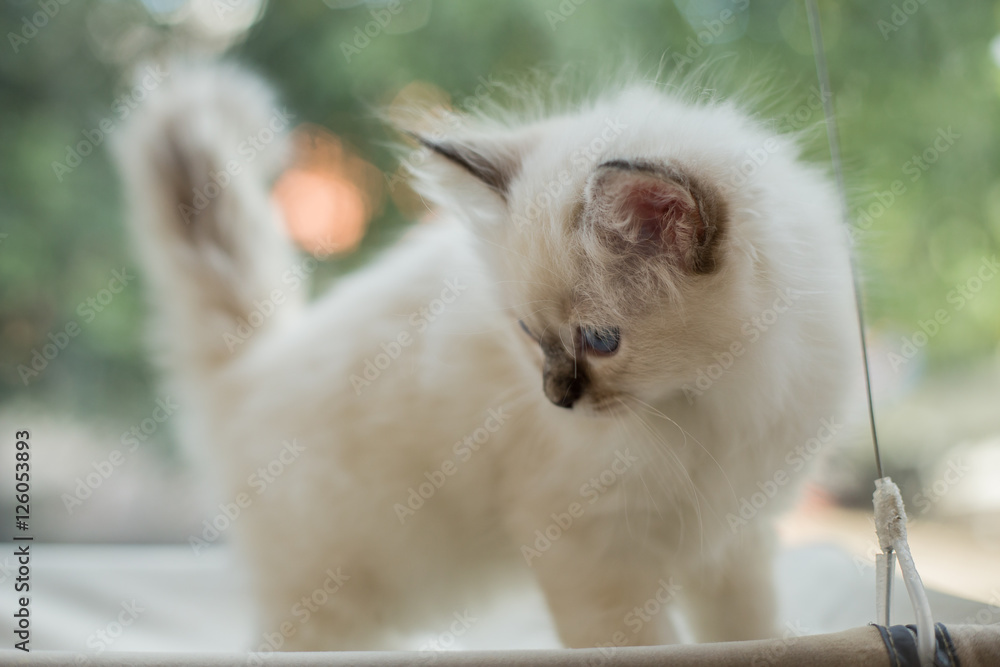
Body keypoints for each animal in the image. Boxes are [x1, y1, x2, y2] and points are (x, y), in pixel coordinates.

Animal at [111, 61, 860, 648]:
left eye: (600, 341)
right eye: (528, 332)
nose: (557, 399)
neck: (709, 399)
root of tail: (253, 369)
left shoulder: (733, 533)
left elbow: (746, 630)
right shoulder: (591, 543)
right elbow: (638, 645)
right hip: (335, 598)